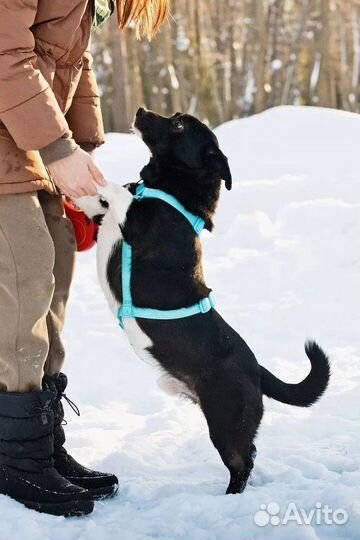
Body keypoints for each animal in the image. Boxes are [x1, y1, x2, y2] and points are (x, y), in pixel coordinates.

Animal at [77, 107, 330, 496]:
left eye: (179, 124)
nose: (141, 111)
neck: (167, 190)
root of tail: (257, 369)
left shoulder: (136, 221)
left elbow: (116, 190)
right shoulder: (106, 217)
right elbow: (97, 201)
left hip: (226, 422)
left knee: (243, 461)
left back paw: (230, 497)